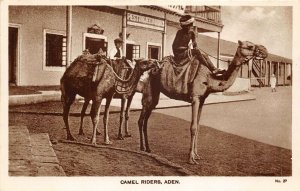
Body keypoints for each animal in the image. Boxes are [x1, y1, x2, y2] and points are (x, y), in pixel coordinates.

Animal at [137, 40, 268, 164]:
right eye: (250, 46)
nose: (264, 50)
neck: (210, 78)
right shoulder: (195, 97)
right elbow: (193, 127)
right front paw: (190, 159)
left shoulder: (202, 100)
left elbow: (199, 126)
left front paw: (196, 155)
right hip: (150, 89)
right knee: (141, 118)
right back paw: (142, 148)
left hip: (155, 93)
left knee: (146, 118)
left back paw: (147, 148)